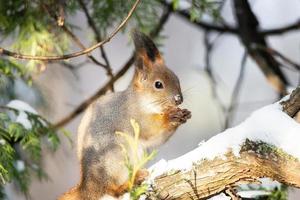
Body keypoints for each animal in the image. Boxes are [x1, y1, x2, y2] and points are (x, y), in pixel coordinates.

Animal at [59, 30, 191, 200]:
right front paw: (170, 117)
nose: (178, 99)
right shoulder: (134, 117)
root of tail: (89, 187)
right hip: (114, 153)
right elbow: (151, 130)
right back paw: (129, 183)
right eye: (158, 84)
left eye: (176, 78)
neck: (142, 102)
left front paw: (184, 114)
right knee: (111, 190)